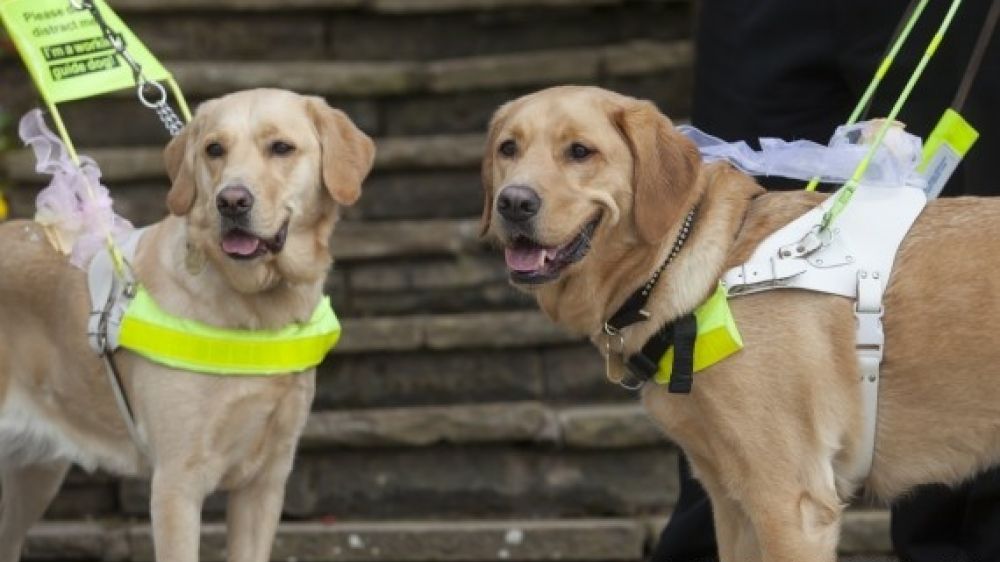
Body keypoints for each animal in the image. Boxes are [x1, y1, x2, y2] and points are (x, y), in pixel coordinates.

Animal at [0, 87, 376, 560]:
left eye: (281, 148)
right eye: (214, 149)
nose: (231, 201)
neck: (256, 310)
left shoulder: (265, 483)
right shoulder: (176, 485)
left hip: (33, 476)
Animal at [480, 84, 1000, 560]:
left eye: (580, 151)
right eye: (508, 148)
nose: (514, 202)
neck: (704, 268)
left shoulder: (789, 501)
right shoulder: (731, 502)